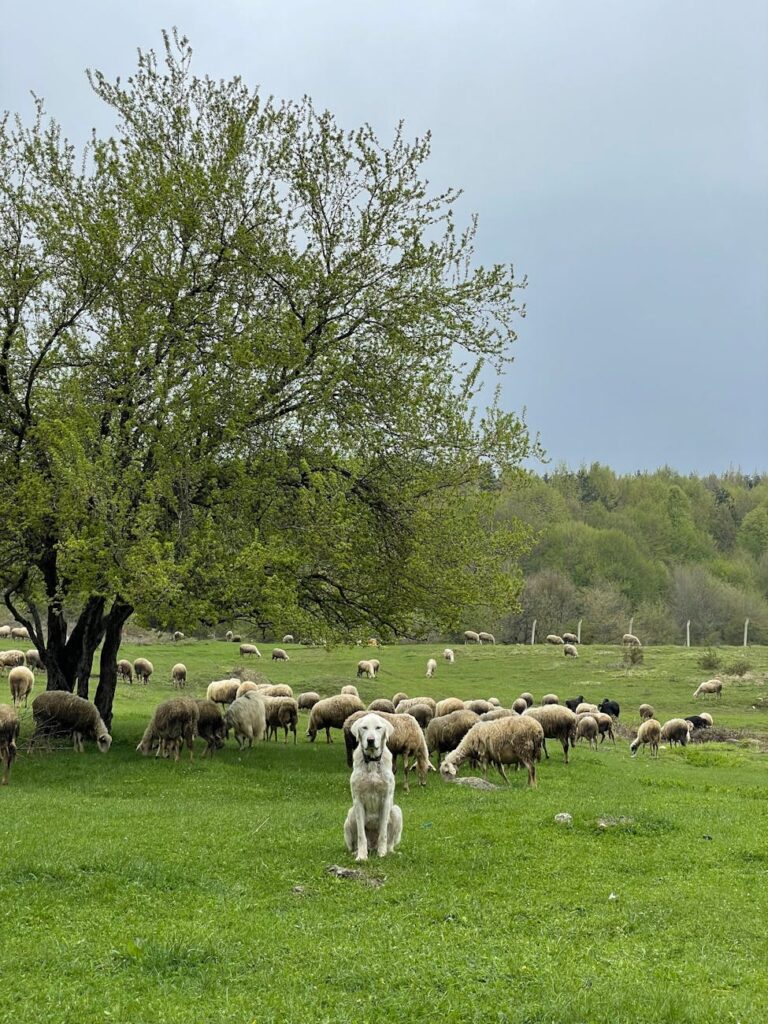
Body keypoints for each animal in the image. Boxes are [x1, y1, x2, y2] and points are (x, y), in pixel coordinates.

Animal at [342, 716, 403, 860]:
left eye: (378, 728)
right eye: (364, 727)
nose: (370, 740)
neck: (372, 762)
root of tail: (372, 847)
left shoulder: (386, 799)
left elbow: (383, 833)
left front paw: (382, 854)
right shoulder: (358, 800)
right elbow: (361, 835)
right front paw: (361, 856)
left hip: (396, 811)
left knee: (390, 843)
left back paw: (389, 852)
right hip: (350, 814)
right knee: (355, 843)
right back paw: (357, 851)